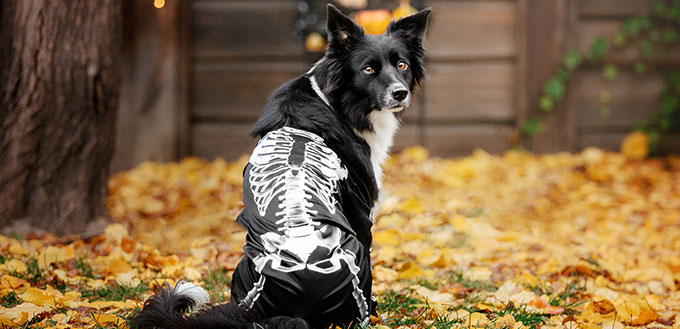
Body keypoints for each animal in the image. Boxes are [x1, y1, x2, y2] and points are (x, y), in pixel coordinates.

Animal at [133, 5, 430, 328]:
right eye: (368, 70)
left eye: (401, 65)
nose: (400, 93)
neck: (336, 102)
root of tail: (295, 311)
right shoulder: (362, 212)